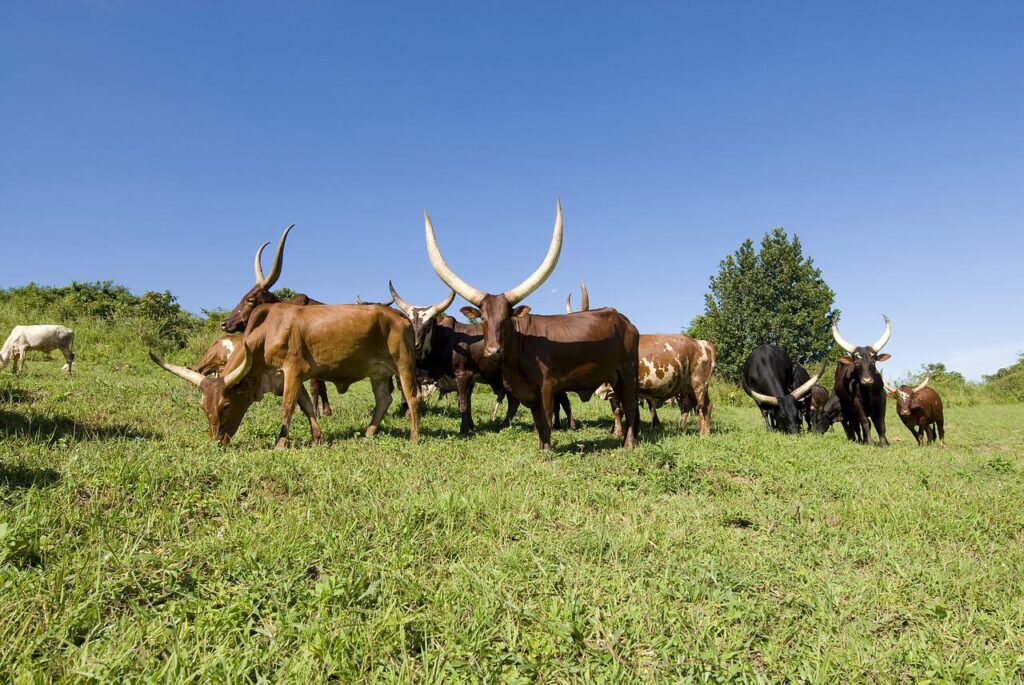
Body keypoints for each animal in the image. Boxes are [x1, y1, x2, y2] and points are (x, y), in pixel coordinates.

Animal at [149, 301, 419, 446]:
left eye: (226, 405)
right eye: (203, 407)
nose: (217, 441)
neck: (268, 333)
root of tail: (401, 317)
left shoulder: (293, 370)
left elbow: (287, 407)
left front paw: (281, 443)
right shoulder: (289, 379)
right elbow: (307, 406)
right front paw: (317, 438)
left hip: (404, 365)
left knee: (412, 398)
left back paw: (413, 437)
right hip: (378, 374)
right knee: (383, 400)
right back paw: (369, 433)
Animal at [423, 200, 638, 450]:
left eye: (507, 318)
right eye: (483, 318)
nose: (493, 351)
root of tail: (625, 321)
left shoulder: (547, 387)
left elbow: (545, 421)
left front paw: (547, 452)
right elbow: (538, 422)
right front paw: (542, 447)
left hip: (628, 373)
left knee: (630, 406)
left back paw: (629, 443)